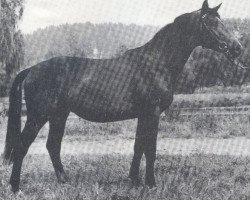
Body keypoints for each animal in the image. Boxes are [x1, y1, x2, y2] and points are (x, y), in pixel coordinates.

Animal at [2, 0, 243, 193]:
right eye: (210, 23)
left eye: (220, 20)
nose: (237, 48)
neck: (156, 62)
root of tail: (31, 69)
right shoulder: (152, 113)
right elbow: (150, 149)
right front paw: (151, 184)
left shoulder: (144, 115)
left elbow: (138, 147)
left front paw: (134, 181)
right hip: (38, 116)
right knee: (22, 146)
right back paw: (16, 187)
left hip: (59, 115)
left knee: (53, 145)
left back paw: (64, 181)